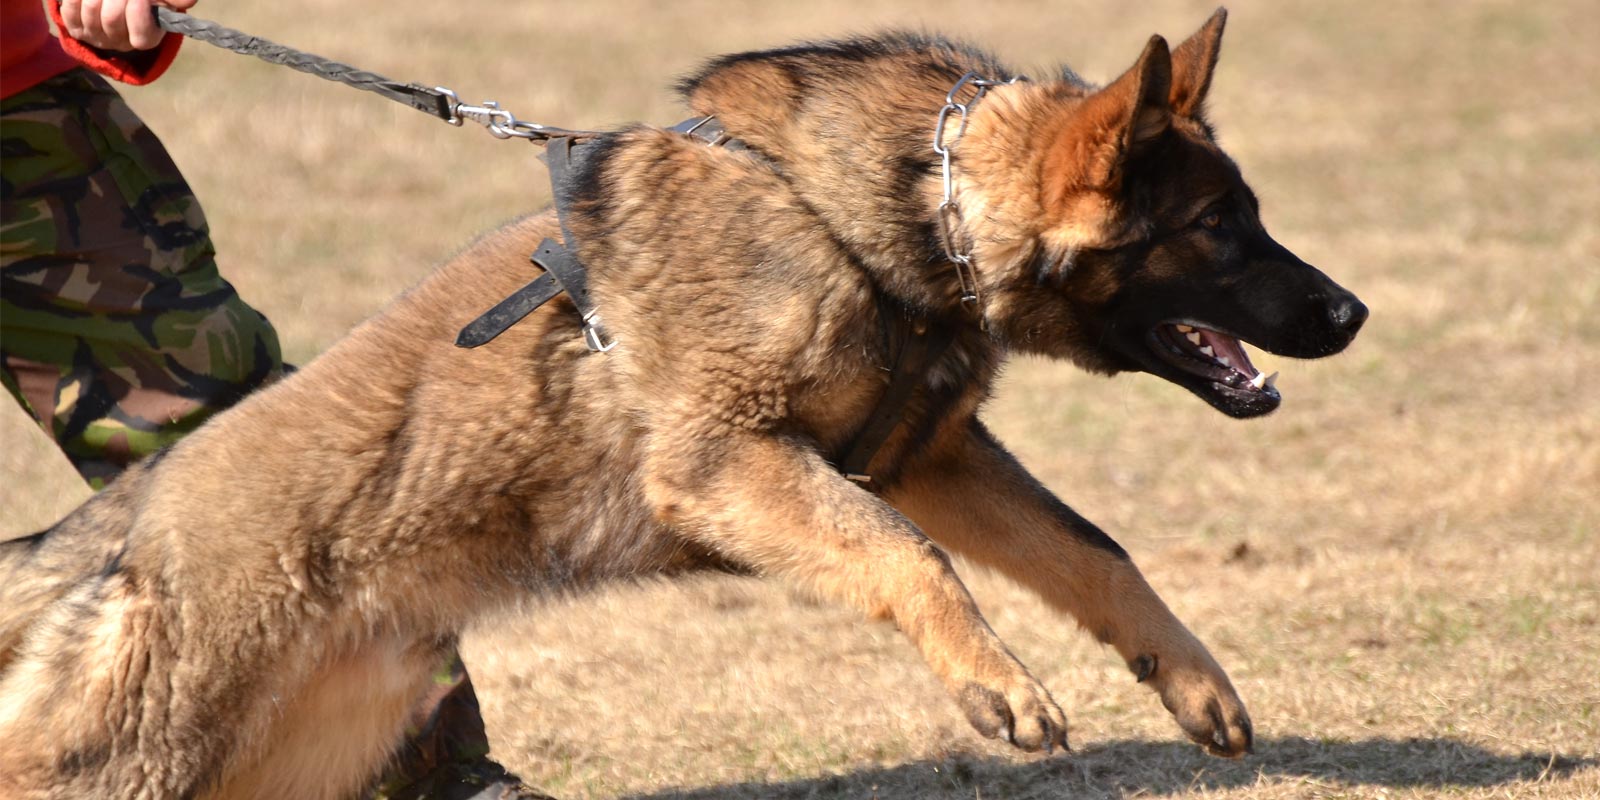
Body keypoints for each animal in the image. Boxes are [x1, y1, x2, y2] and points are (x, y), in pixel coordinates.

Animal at [0, 9, 1363, 796]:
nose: (1351, 314)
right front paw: (999, 686)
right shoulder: (732, 458)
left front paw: (1191, 678)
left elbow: (1092, 550)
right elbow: (910, 557)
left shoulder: (930, 454)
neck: (914, 204)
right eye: (1218, 226)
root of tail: (132, 520)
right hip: (131, 751)